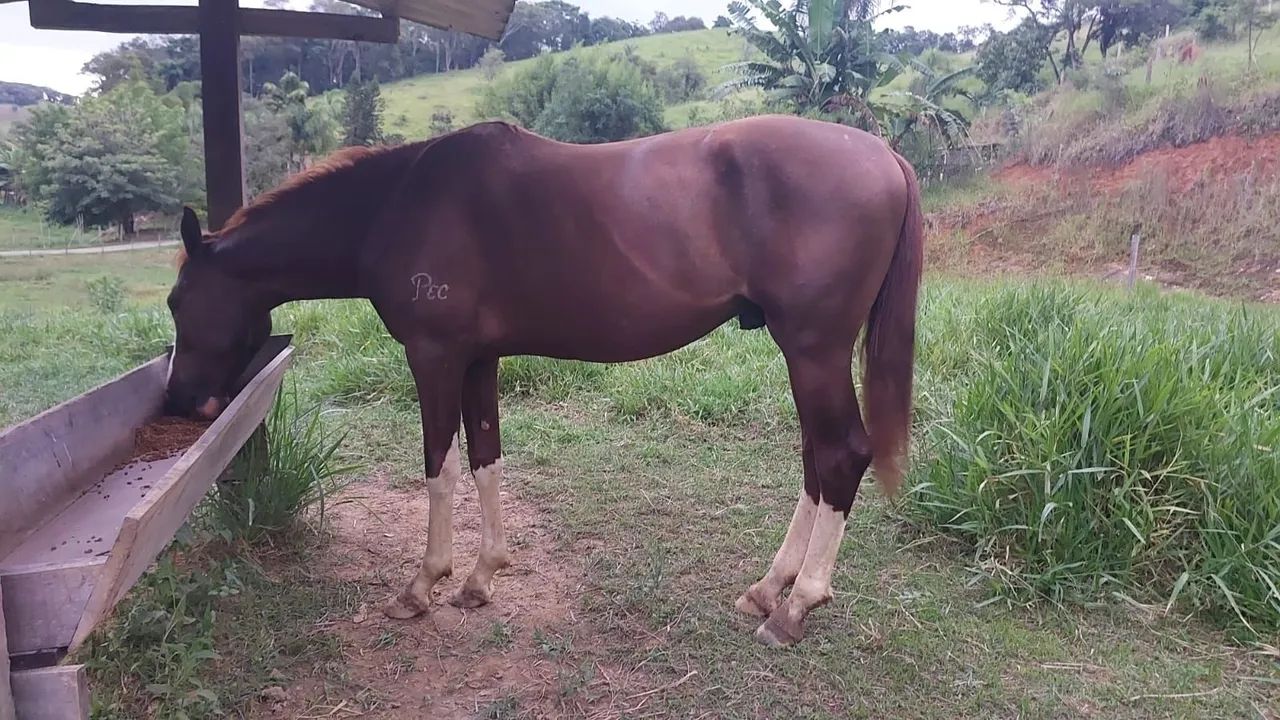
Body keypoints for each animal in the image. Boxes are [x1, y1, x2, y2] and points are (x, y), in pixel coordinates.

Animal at [164, 114, 923, 647]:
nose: (179, 401)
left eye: (176, 301)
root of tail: (884, 154)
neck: (398, 204)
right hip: (806, 356)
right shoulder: (477, 359)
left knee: (840, 455)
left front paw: (423, 585)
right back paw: (768, 589)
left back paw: (796, 607)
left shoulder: (434, 357)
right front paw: (480, 578)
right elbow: (485, 458)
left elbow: (439, 466)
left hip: (813, 350)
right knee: (816, 461)